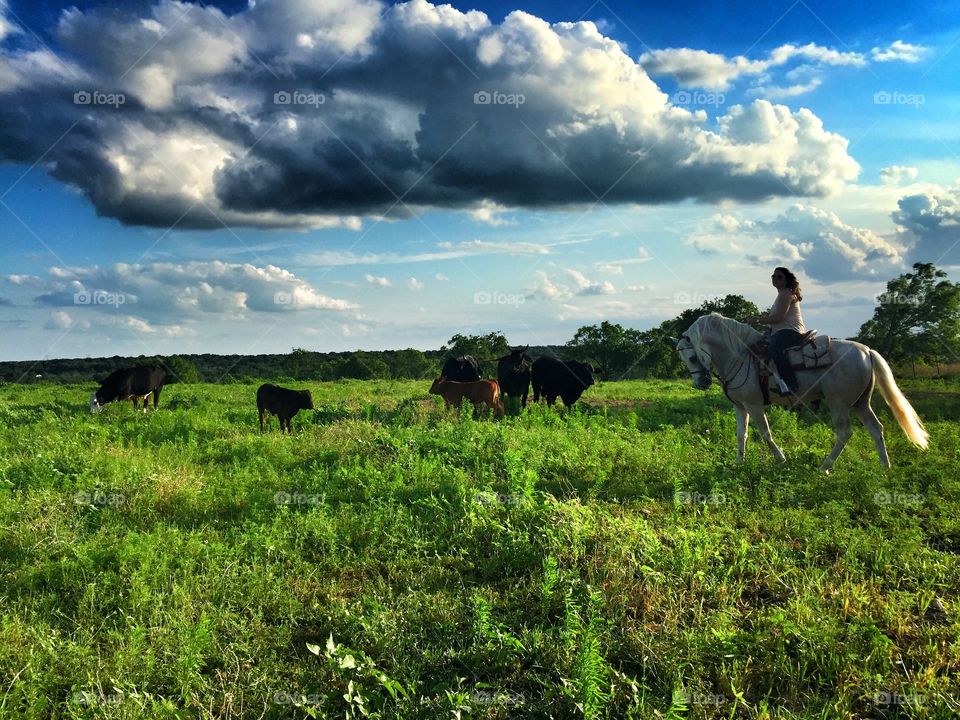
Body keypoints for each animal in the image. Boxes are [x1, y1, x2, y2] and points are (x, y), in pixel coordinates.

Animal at [676, 312, 928, 470]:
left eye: (692, 357)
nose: (701, 383)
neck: (739, 356)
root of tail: (866, 351)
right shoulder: (740, 407)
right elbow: (741, 434)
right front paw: (739, 462)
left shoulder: (755, 406)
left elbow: (765, 433)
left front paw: (780, 459)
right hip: (860, 403)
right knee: (876, 429)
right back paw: (885, 466)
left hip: (838, 404)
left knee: (845, 433)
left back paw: (825, 467)